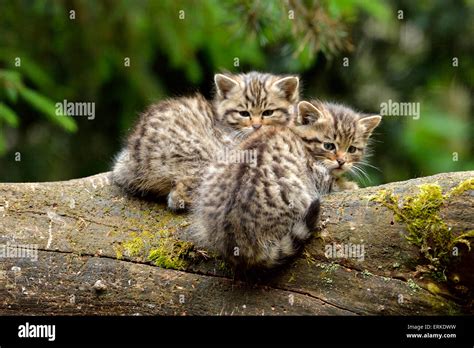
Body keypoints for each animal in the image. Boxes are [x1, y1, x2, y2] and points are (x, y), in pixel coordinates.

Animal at [191, 100, 380, 270]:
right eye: (328, 146)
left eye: (352, 149)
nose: (341, 161)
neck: (293, 132)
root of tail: (239, 243)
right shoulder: (316, 174)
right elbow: (332, 183)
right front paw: (349, 185)